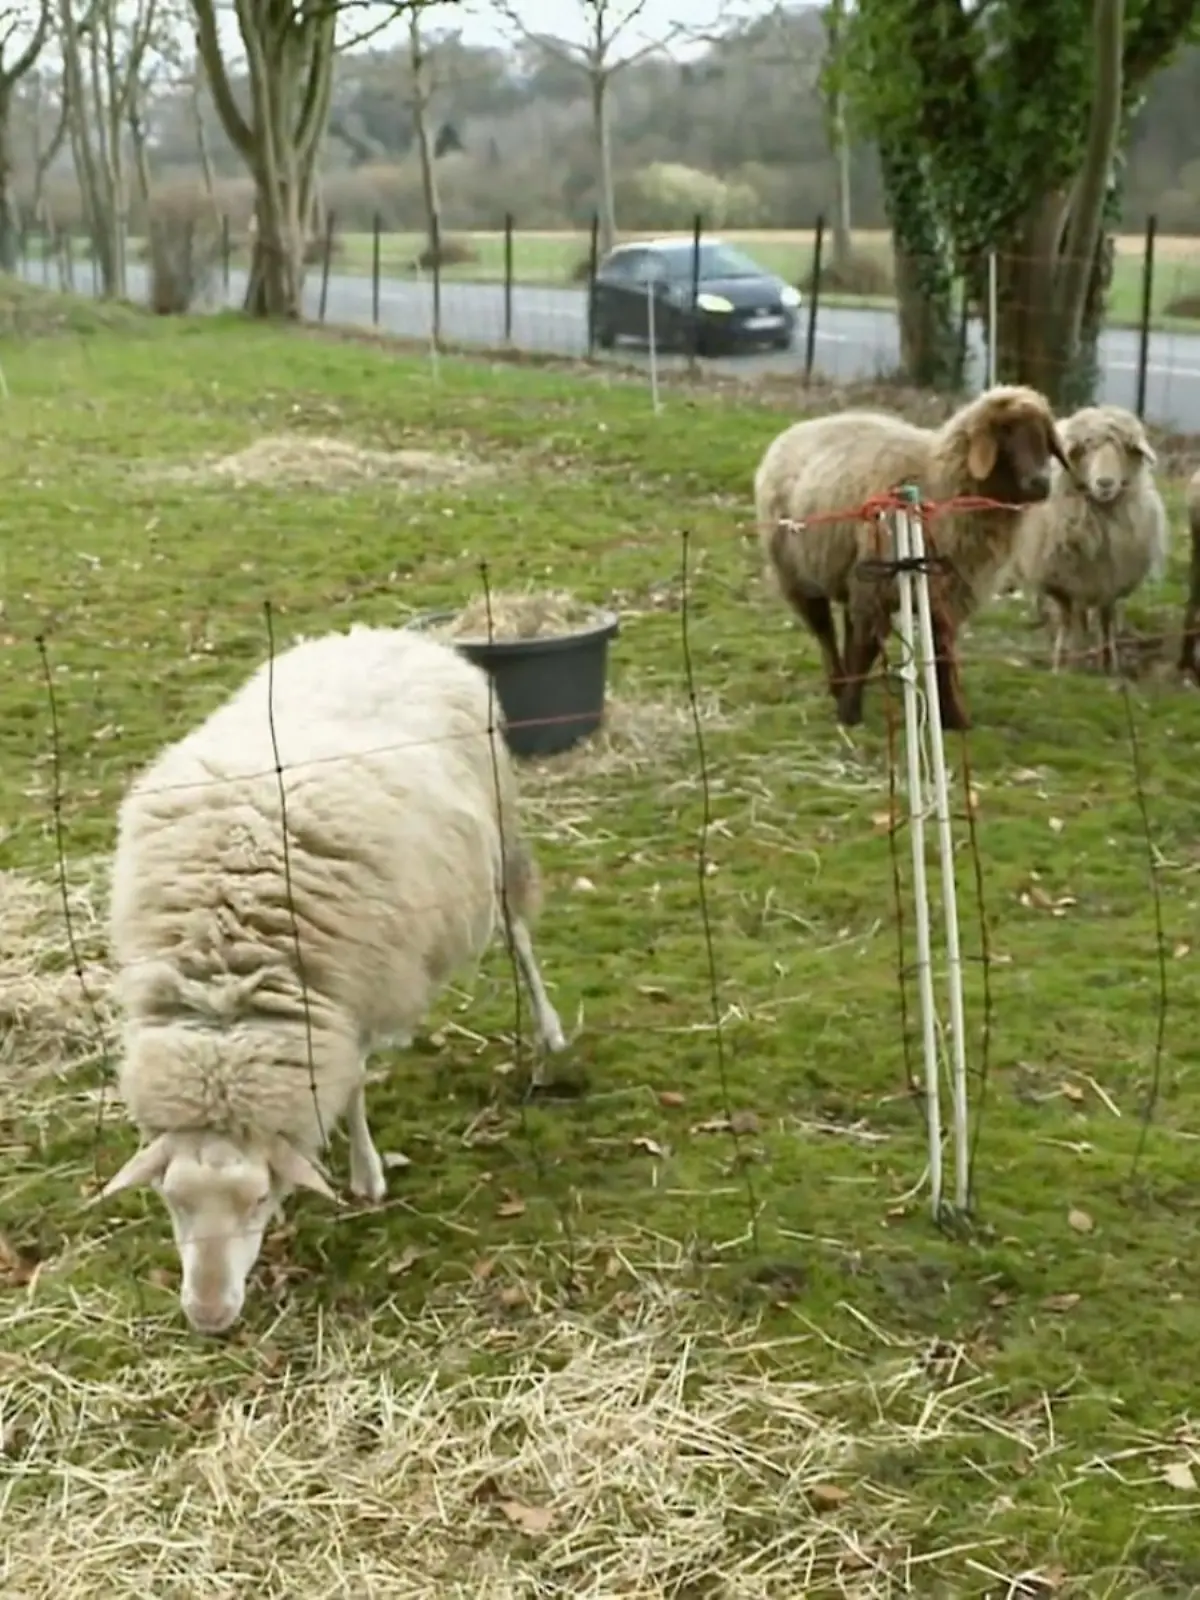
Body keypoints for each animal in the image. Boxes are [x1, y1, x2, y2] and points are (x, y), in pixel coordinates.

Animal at [92, 623, 567, 1335]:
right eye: (172, 1202)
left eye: (256, 1201)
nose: (209, 1316)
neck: (228, 990)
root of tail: (391, 633)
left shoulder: (354, 989)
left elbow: (353, 1090)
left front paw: (366, 1175)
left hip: (500, 847)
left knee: (521, 941)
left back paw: (549, 1030)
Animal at [755, 383, 1068, 730]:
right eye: (1006, 429)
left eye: (1045, 433)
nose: (1040, 484)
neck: (940, 480)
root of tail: (795, 430)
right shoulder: (881, 586)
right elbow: (868, 647)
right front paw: (850, 714)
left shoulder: (947, 591)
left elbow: (942, 650)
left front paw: (955, 716)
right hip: (799, 573)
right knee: (825, 630)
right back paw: (838, 684)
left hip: (853, 572)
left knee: (850, 629)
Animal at [1006, 404, 1166, 674]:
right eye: (1086, 448)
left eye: (1124, 447)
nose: (1105, 483)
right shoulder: (1062, 582)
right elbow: (1068, 621)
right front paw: (1063, 663)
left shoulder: (1111, 580)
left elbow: (1106, 620)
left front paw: (1109, 662)